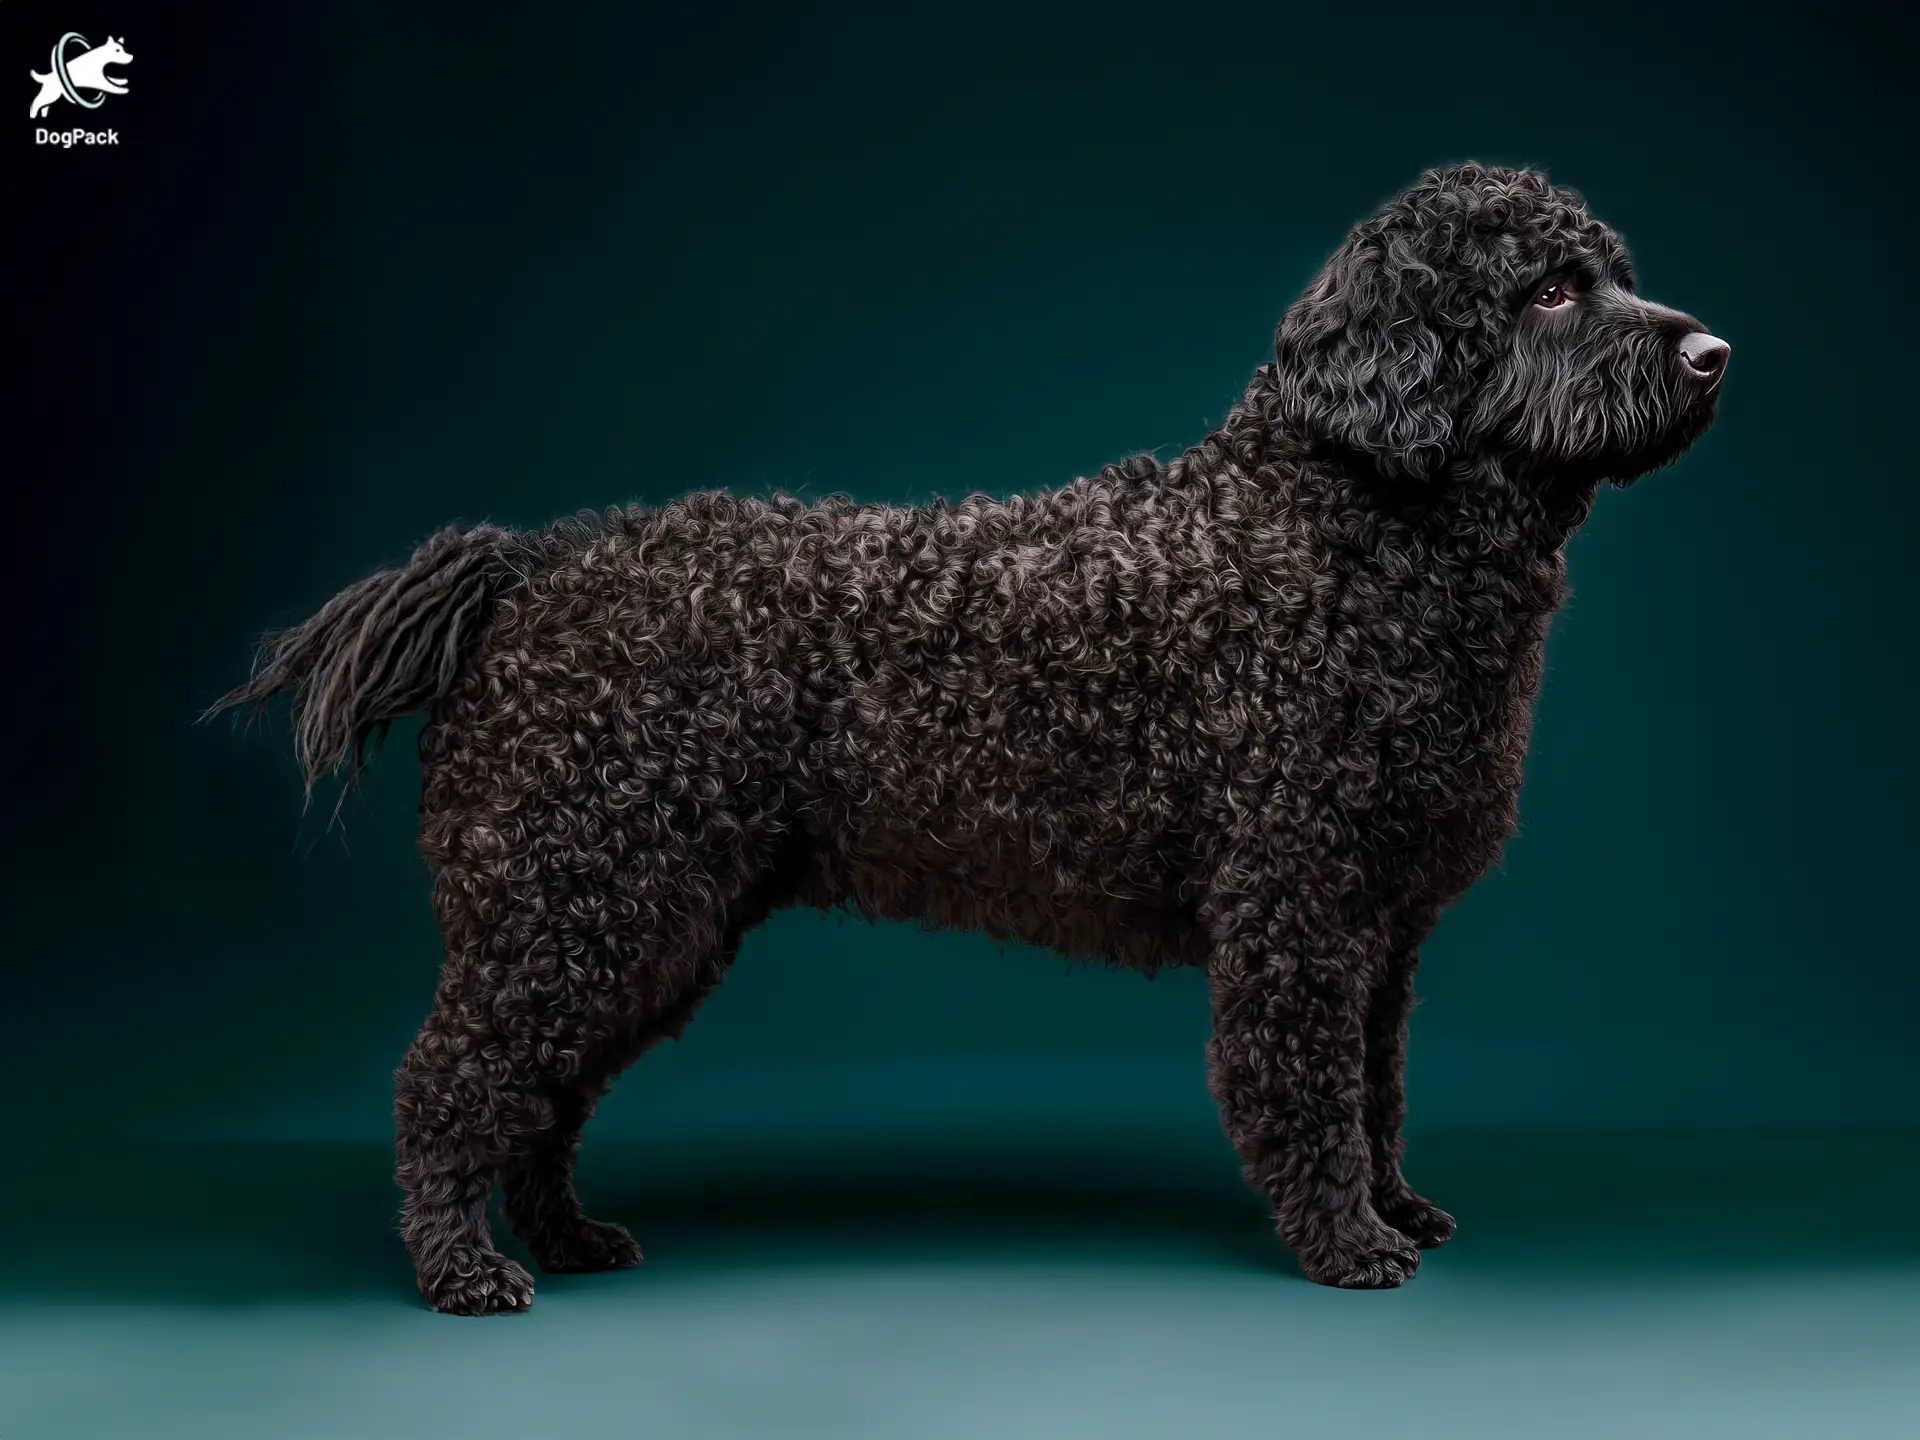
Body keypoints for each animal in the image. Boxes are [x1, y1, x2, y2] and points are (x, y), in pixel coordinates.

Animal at [214, 163, 1728, 1313]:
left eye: (1608, 271)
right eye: (1546, 291)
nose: (1715, 351)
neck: (1341, 529)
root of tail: (530, 572)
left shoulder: (1381, 934)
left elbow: (1378, 1087)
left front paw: (1399, 1206)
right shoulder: (1298, 915)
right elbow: (1307, 1093)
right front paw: (1349, 1242)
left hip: (645, 923)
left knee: (538, 1100)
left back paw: (571, 1239)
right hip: (571, 904)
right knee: (445, 1082)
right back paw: (461, 1270)